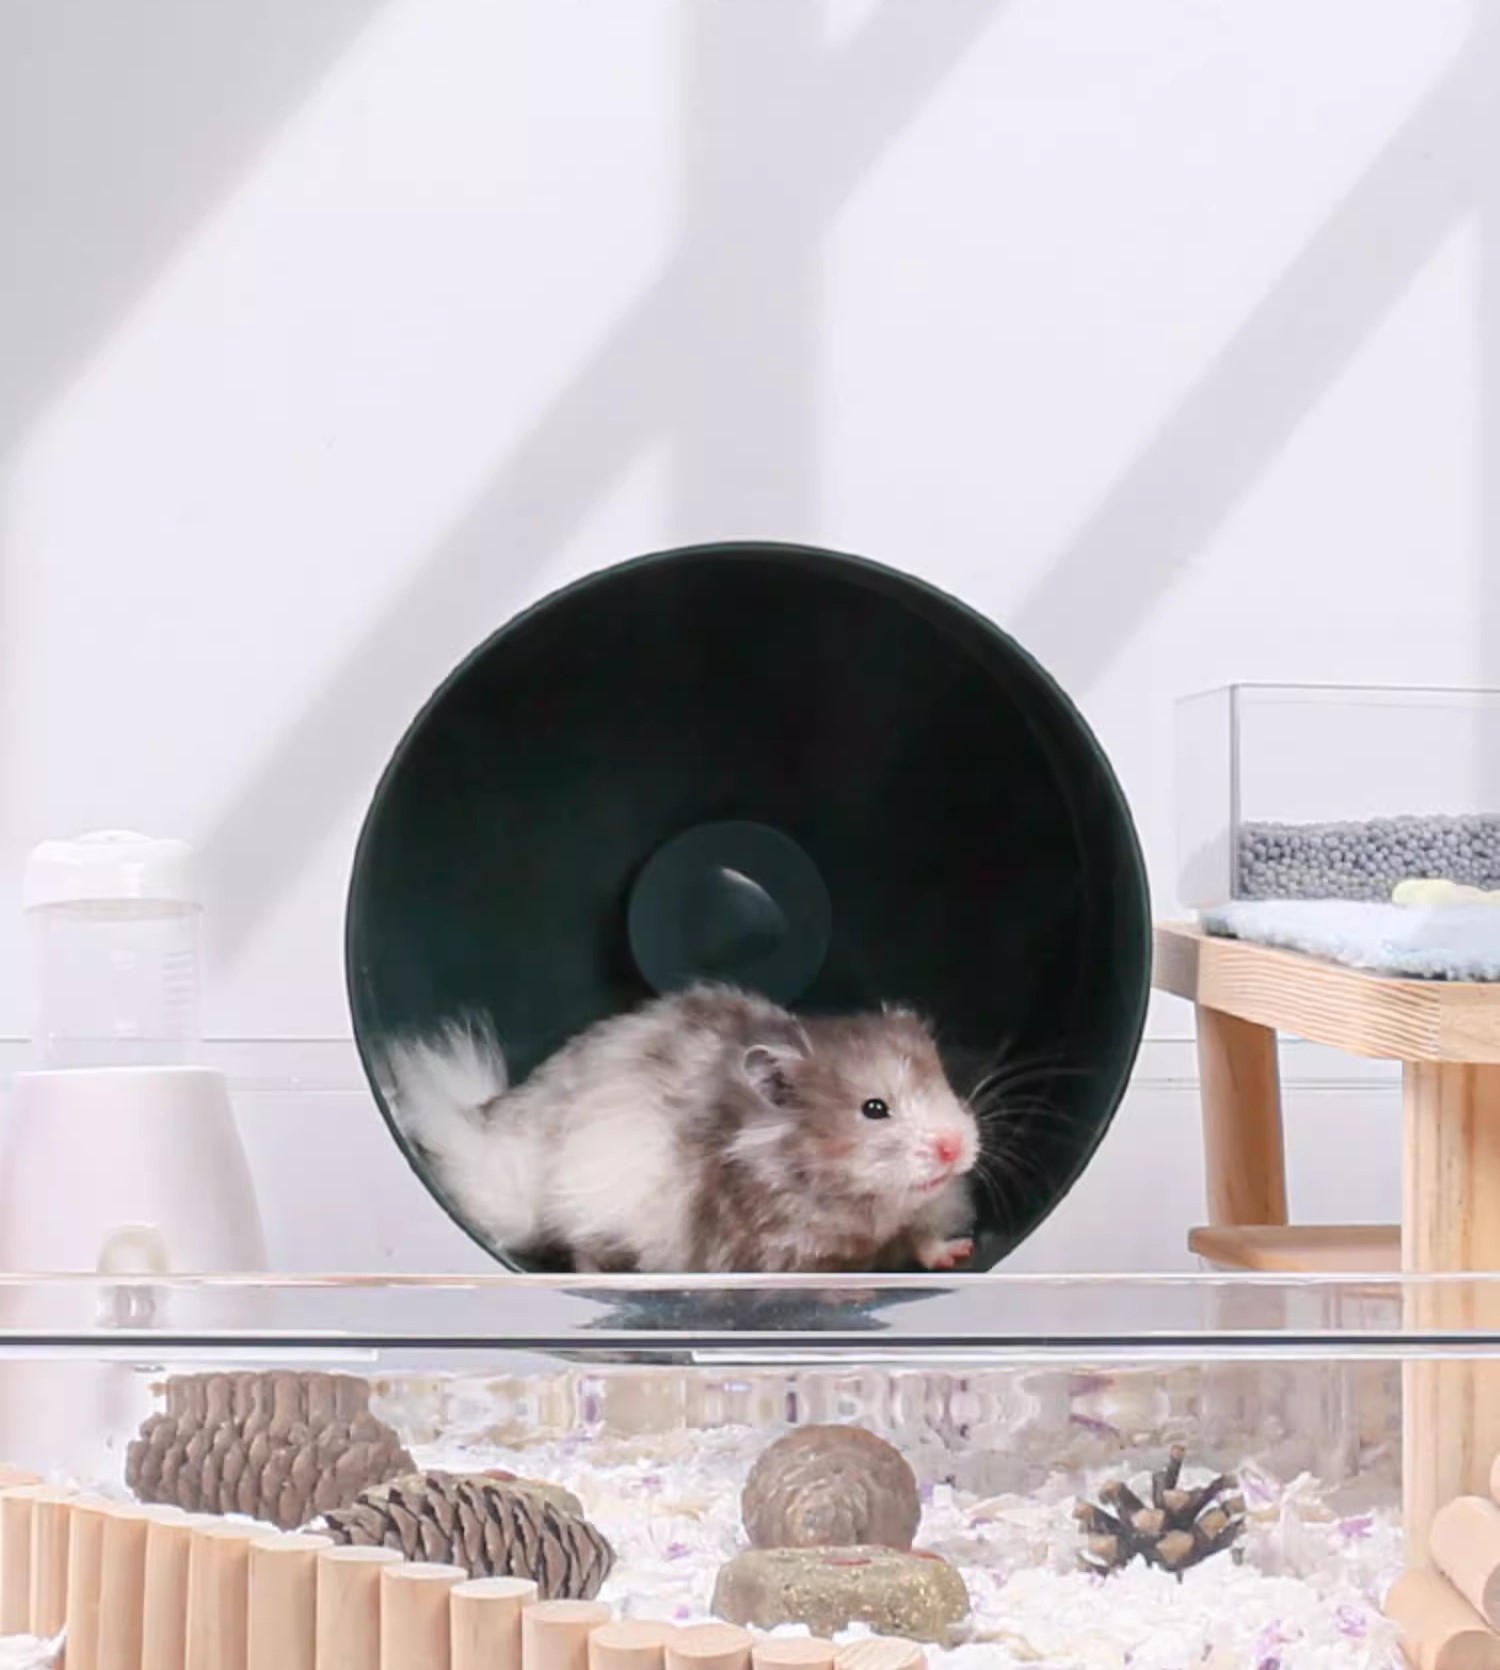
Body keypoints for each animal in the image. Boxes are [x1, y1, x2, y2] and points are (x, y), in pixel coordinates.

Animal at [377, 982, 982, 1275]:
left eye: (944, 1082)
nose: (957, 1149)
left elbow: (923, 1237)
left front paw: (961, 1252)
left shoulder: (916, 1214)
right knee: (575, 1244)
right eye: (874, 1108)